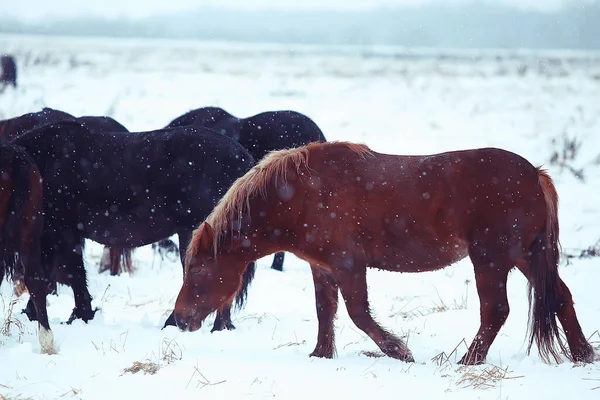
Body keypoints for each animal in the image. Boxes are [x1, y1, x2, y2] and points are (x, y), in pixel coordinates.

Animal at [173, 141, 596, 366]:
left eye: (197, 271)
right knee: (561, 297)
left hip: (491, 259)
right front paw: (320, 355)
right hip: (526, 256)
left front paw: (400, 352)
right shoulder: (322, 268)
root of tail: (536, 175)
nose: (179, 319)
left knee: (495, 311)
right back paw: (582, 353)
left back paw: (467, 362)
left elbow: (359, 314)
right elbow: (325, 312)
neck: (301, 195)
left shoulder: (348, 265)